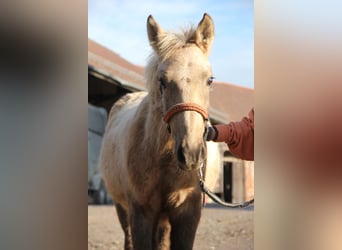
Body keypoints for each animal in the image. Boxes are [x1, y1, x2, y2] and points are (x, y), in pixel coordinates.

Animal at [99, 13, 216, 250]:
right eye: (162, 81)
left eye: (209, 80)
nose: (190, 153)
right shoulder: (141, 213)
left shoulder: (187, 214)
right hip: (122, 208)